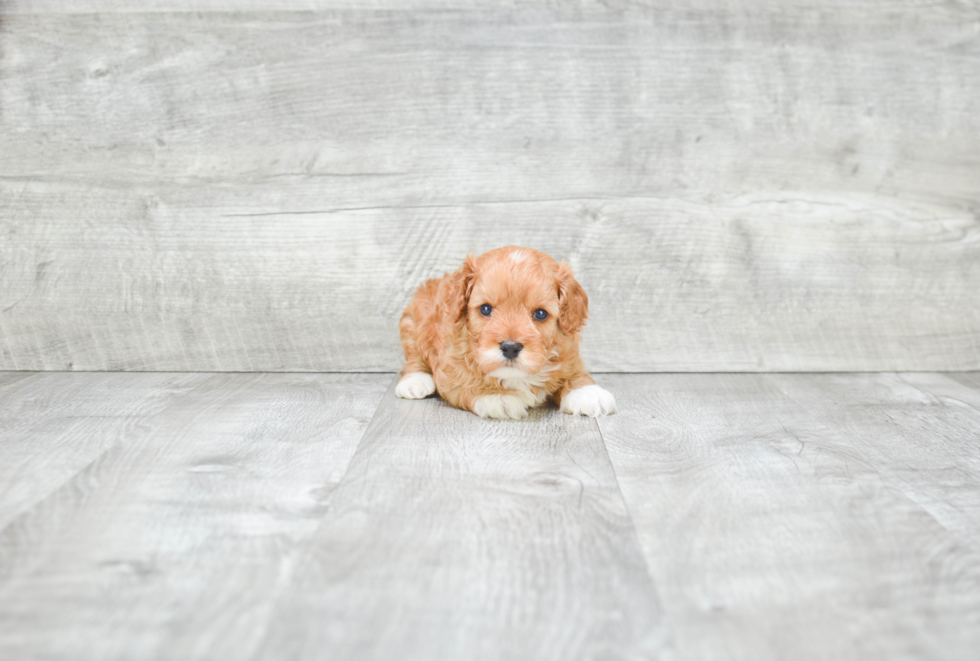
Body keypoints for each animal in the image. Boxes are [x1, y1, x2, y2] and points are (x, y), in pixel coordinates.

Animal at [394, 245, 616, 420]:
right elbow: (467, 381)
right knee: (414, 357)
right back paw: (415, 381)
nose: (510, 347)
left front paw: (588, 393)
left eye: (541, 313)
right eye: (485, 309)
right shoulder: (450, 369)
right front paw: (496, 396)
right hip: (413, 323)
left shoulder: (569, 354)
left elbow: (575, 373)